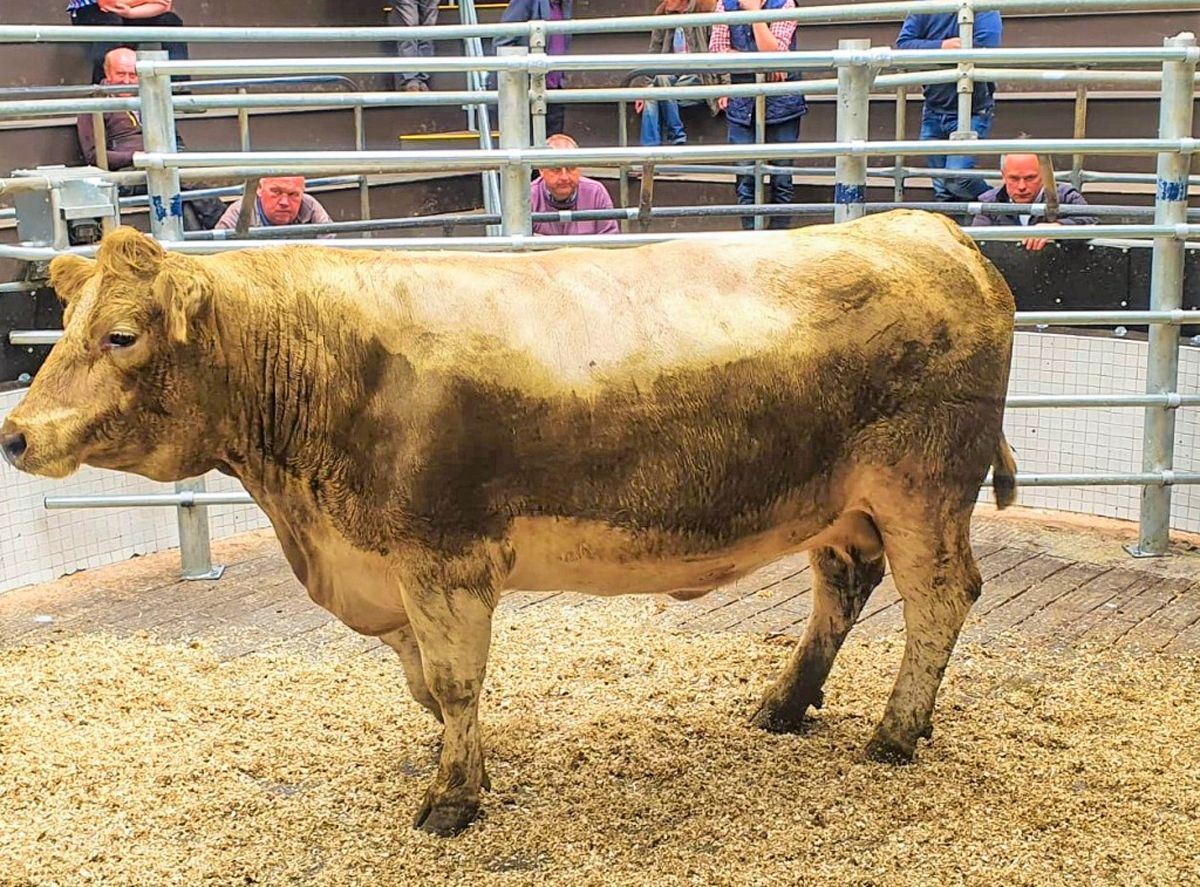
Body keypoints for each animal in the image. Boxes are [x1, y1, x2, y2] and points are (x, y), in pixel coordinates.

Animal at [1, 210, 1017, 836]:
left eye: (121, 334)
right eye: (65, 323)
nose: (16, 433)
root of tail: (932, 231)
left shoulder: (443, 556)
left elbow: (453, 681)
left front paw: (452, 799)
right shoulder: (391, 569)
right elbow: (426, 687)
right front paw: (465, 765)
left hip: (924, 489)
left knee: (942, 598)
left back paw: (896, 731)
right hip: (838, 501)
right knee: (844, 585)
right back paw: (785, 702)